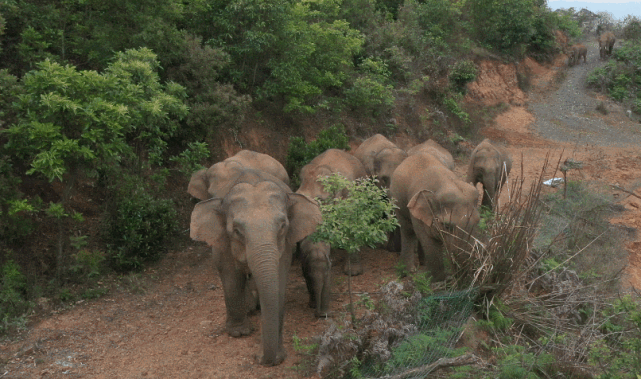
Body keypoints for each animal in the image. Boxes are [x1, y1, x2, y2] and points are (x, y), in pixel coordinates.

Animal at [189, 168, 320, 366]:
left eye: (283, 226)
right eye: (236, 231)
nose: (260, 359)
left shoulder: (285, 245)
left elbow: (278, 282)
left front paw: (277, 357)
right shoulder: (223, 242)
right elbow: (231, 277)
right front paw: (239, 333)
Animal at [390, 152, 480, 280]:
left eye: (478, 221)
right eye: (447, 226)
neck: (447, 183)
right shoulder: (417, 214)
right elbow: (428, 241)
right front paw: (440, 280)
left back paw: (422, 263)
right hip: (397, 200)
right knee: (408, 231)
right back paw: (409, 271)